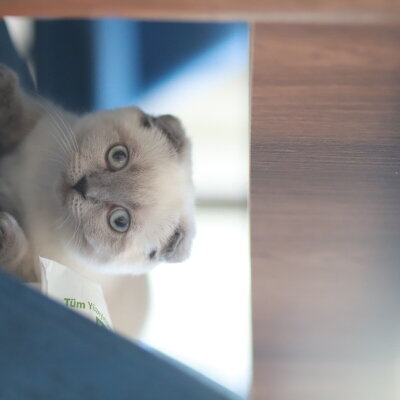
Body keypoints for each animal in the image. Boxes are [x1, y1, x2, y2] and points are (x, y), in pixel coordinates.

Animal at [0, 65, 195, 282]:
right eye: (118, 156)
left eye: (120, 221)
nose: (82, 186)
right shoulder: (39, 120)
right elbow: (17, 115)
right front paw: (3, 83)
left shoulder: (38, 274)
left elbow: (18, 257)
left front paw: (3, 233)